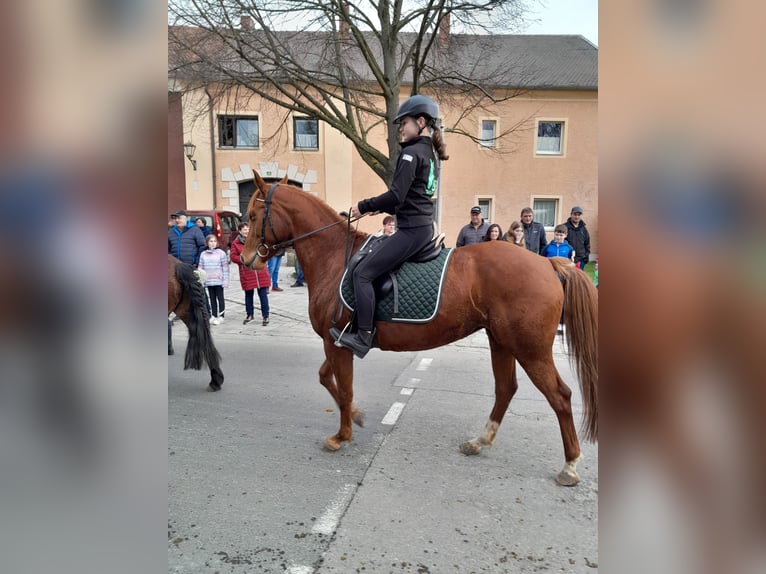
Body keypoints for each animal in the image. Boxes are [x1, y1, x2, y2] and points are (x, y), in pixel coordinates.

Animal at [240, 174, 600, 486]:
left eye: (254, 214)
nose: (245, 259)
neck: (334, 258)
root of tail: (547, 264)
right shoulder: (338, 342)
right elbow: (327, 380)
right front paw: (356, 416)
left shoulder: (338, 344)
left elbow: (343, 389)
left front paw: (342, 435)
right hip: (501, 341)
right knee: (505, 389)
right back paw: (479, 441)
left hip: (530, 349)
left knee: (560, 396)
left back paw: (569, 465)